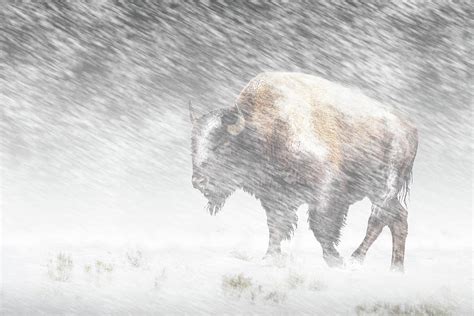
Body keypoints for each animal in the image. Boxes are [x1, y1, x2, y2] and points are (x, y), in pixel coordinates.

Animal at [189, 73, 418, 270]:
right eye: (193, 146)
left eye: (222, 144)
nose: (198, 182)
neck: (268, 128)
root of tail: (409, 129)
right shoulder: (274, 196)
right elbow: (276, 226)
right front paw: (269, 258)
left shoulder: (326, 193)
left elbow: (321, 227)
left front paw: (335, 260)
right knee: (398, 218)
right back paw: (396, 269)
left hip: (383, 187)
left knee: (378, 219)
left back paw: (355, 260)